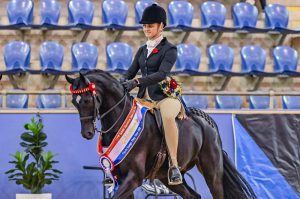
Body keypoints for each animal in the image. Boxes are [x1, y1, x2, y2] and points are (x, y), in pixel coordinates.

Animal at [65, 70, 255, 199]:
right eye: (74, 102)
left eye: (87, 100)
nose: (87, 133)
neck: (121, 121)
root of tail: (207, 121)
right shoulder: (120, 177)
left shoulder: (134, 177)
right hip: (168, 177)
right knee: (192, 195)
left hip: (211, 170)